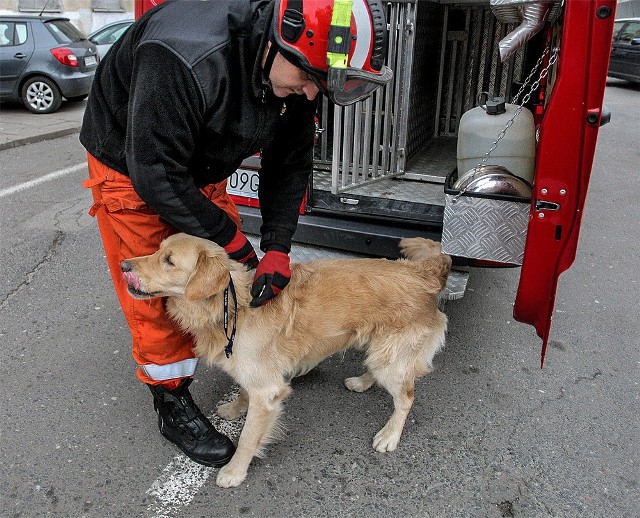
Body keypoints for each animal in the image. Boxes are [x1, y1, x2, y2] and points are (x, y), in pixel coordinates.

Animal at [120, 234, 450, 490]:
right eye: (157, 250)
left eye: (169, 261)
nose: (123, 266)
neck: (232, 305)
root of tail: (425, 272)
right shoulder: (253, 372)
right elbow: (243, 391)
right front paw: (236, 408)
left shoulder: (267, 392)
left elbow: (248, 437)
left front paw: (235, 471)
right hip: (380, 350)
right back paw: (361, 381)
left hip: (392, 360)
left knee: (406, 398)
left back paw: (390, 435)